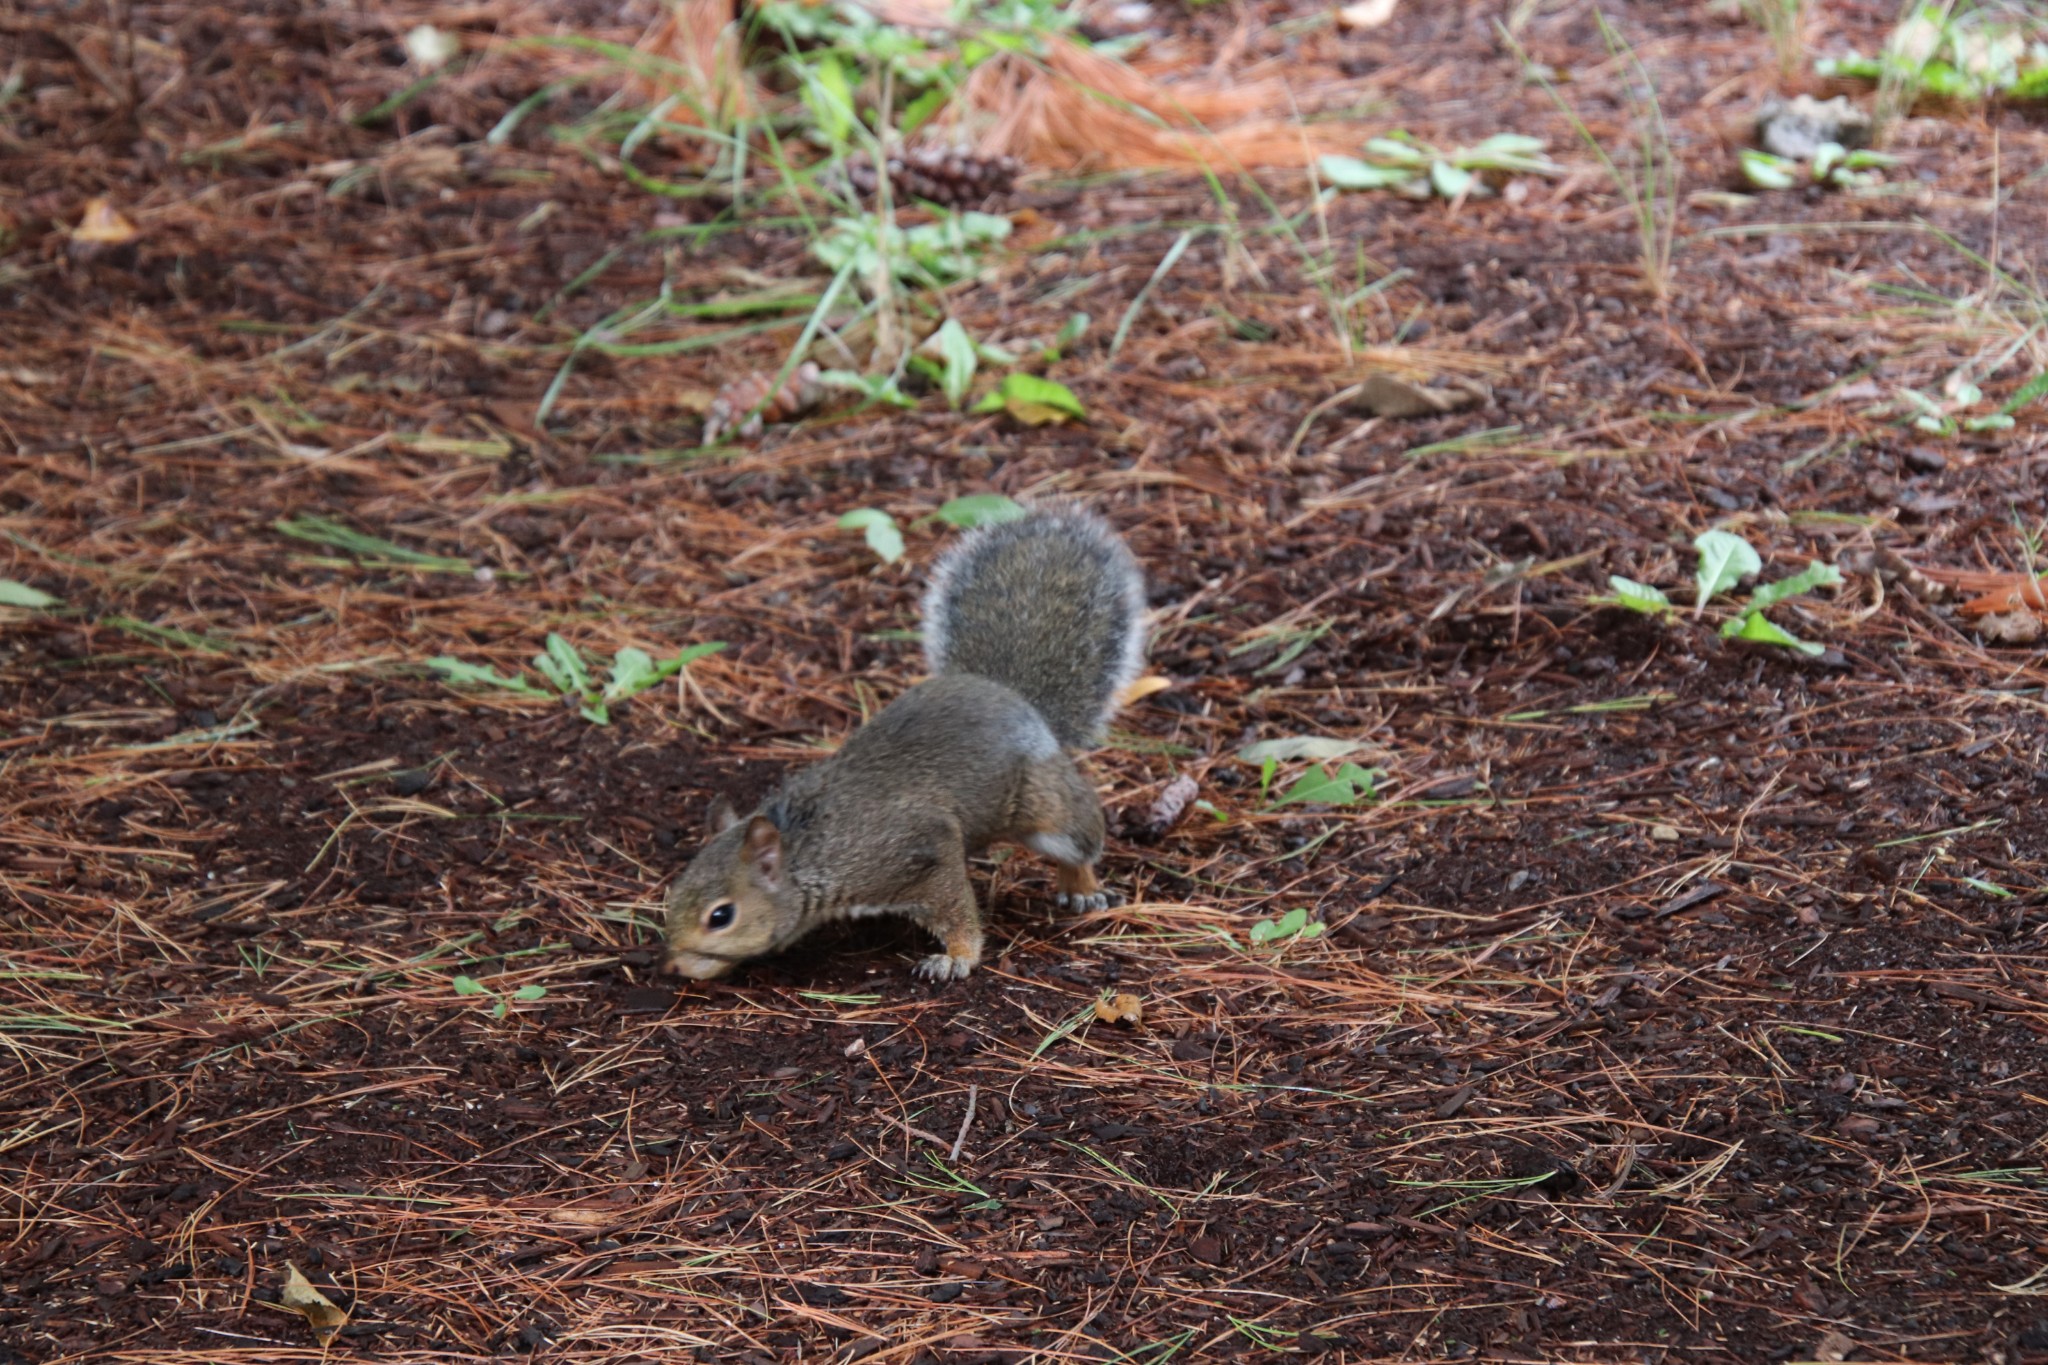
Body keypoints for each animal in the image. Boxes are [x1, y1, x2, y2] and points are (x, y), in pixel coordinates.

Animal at [667, 505, 1155, 982]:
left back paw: (1082, 887)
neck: (807, 851)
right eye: (676, 890)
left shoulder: (920, 850)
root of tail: (1007, 693)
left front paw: (956, 958)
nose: (673, 964)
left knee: (1079, 832)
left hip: (1045, 802)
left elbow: (954, 909)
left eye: (720, 916)